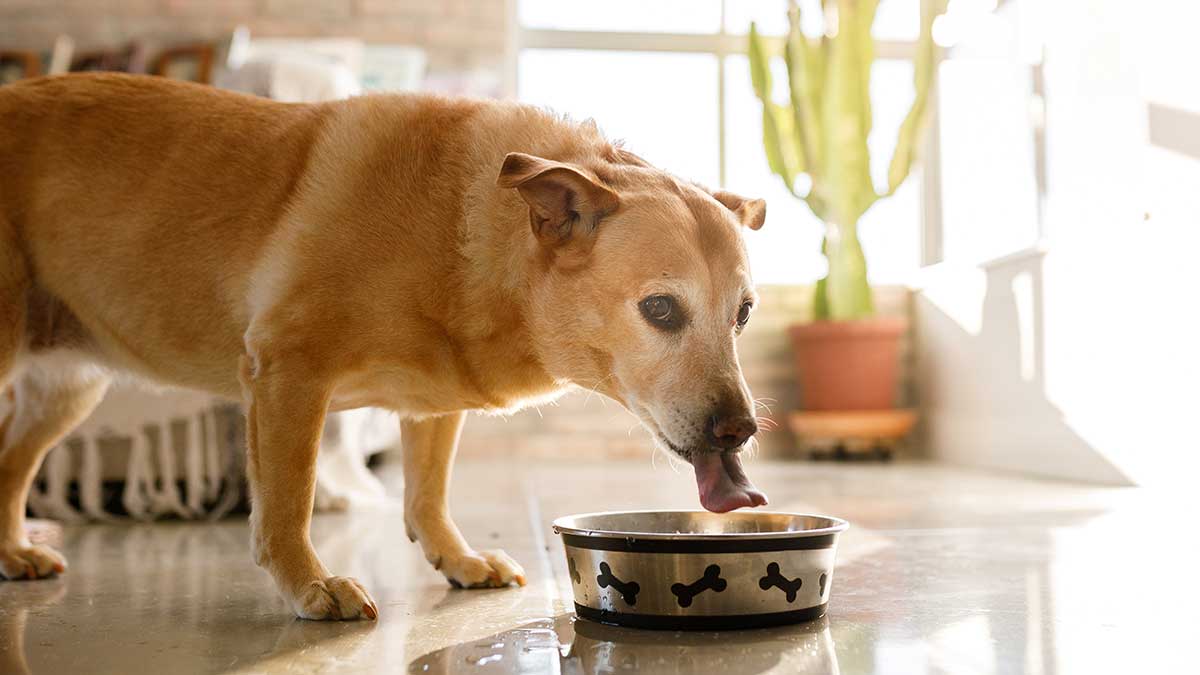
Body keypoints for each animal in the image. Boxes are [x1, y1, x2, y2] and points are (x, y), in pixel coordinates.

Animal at [0, 74, 768, 619]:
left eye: (744, 314)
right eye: (660, 309)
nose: (740, 430)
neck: (460, 226)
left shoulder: (430, 406)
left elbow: (426, 495)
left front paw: (458, 560)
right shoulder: (287, 372)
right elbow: (287, 502)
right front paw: (309, 585)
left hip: (65, 391)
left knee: (9, 465)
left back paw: (13, 549)